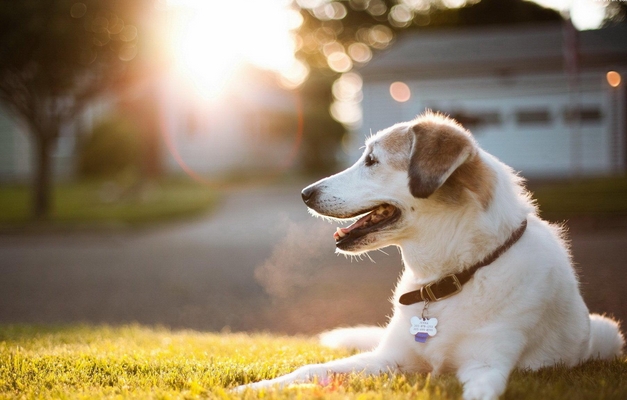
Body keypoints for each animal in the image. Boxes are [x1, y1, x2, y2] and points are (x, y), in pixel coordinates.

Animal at [238, 112, 624, 400]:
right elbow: (312, 369)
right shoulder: (390, 359)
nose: (305, 193)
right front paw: (255, 386)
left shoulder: (486, 365)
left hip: (608, 332)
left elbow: (481, 391)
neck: (448, 279)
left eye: (372, 160)